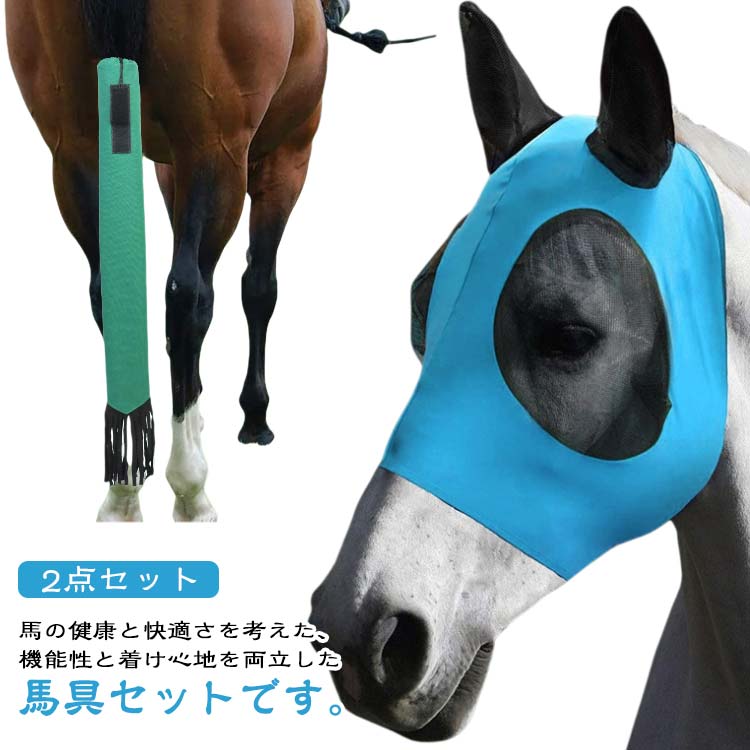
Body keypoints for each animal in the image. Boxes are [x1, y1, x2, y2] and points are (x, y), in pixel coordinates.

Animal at [7, 0, 329, 521]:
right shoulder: (286, 159)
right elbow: (258, 289)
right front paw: (254, 414)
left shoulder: (167, 168)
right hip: (216, 148)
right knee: (188, 297)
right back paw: (190, 485)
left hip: (75, 151)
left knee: (115, 295)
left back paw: (124, 489)